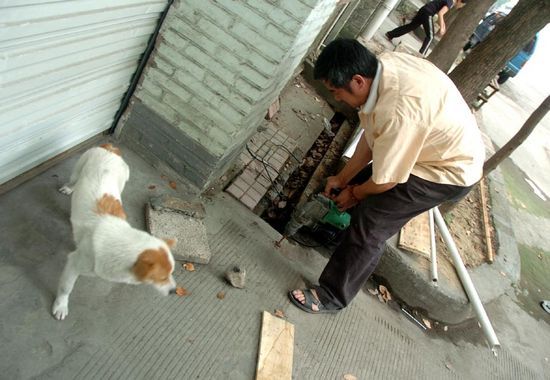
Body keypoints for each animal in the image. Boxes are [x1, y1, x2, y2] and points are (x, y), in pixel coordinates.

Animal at [52, 145, 176, 320]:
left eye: (171, 273)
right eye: (162, 278)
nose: (174, 291)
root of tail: (111, 148)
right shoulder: (73, 264)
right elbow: (65, 288)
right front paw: (61, 306)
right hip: (78, 169)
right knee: (74, 179)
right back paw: (69, 188)